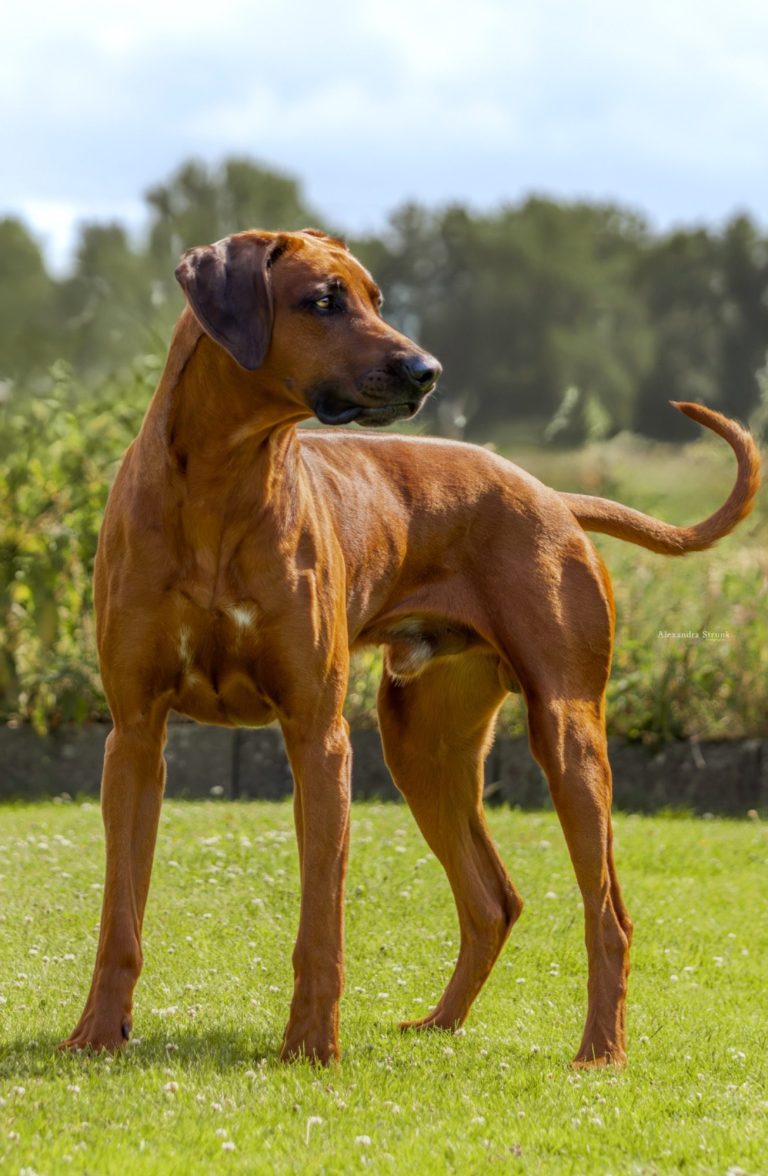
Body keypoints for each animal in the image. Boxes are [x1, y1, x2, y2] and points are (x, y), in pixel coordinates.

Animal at [62, 228, 761, 1066]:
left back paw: (599, 1050)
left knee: (607, 915)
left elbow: (320, 922)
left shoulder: (318, 736)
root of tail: (552, 495)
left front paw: (311, 1047)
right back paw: (441, 1024)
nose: (428, 369)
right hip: (422, 744)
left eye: (376, 299)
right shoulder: (136, 737)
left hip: (567, 734)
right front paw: (98, 1032)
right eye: (322, 300)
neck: (223, 481)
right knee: (494, 899)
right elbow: (119, 914)